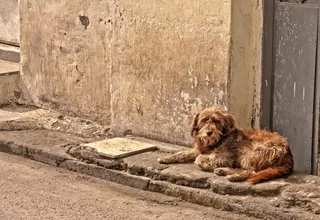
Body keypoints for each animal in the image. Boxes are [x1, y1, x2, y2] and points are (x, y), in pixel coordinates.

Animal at [156, 106, 294, 184]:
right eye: (204, 120)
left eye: (216, 121)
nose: (209, 132)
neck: (217, 140)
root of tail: (288, 153)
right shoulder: (199, 150)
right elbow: (183, 153)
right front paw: (166, 158)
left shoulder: (224, 156)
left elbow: (199, 159)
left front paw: (208, 165)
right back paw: (225, 171)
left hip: (249, 152)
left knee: (251, 171)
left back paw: (231, 174)